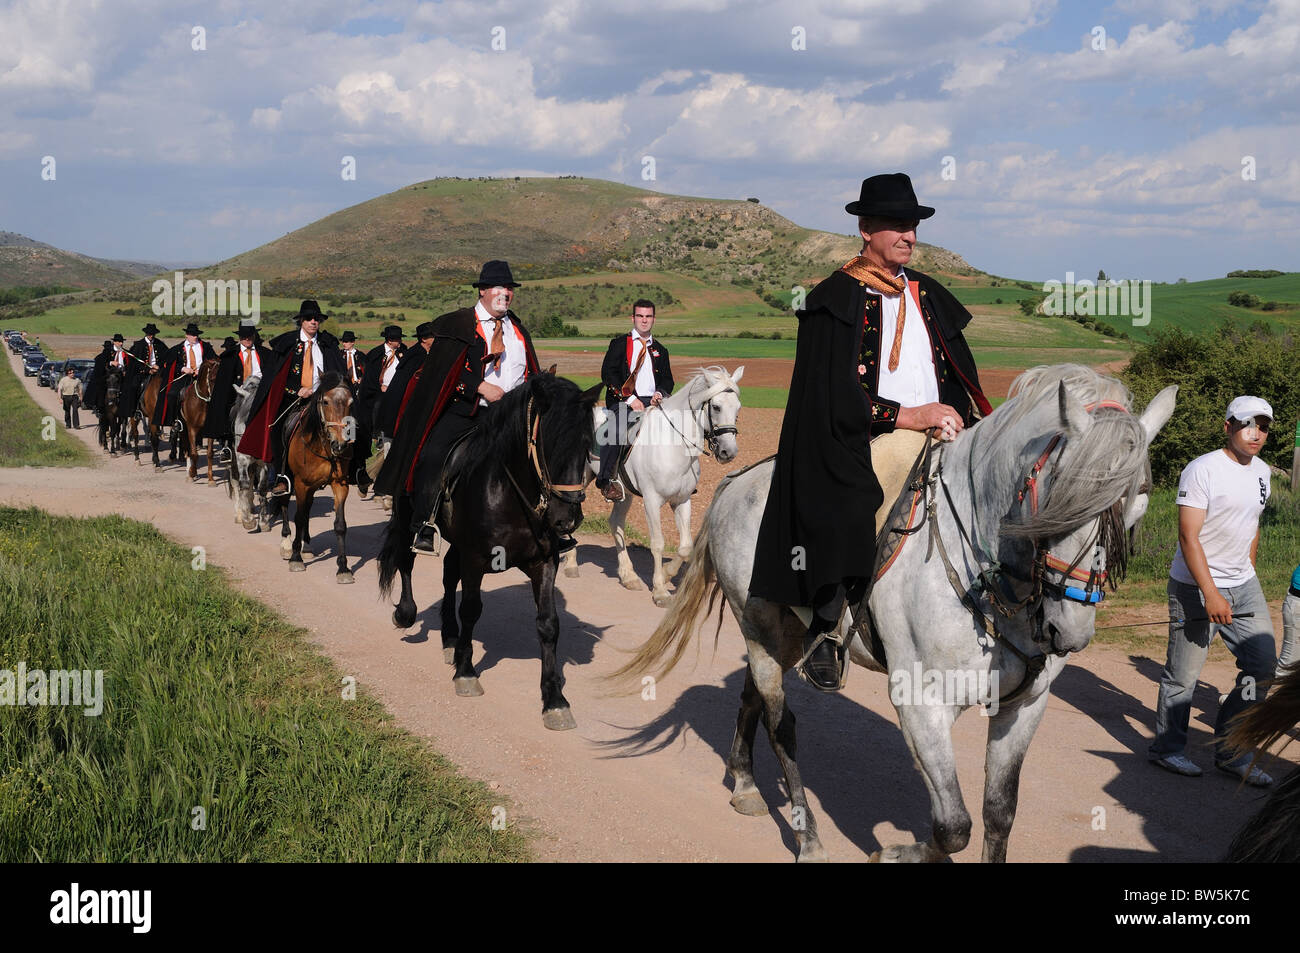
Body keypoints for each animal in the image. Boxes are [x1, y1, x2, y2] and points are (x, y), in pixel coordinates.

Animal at [266, 369, 356, 579]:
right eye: (326, 401)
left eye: (350, 402)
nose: (340, 444)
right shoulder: (301, 484)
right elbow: (298, 517)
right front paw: (295, 558)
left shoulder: (340, 485)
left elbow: (340, 525)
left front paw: (343, 567)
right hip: (290, 481)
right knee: (286, 504)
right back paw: (287, 544)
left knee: (307, 508)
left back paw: (306, 546)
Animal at [377, 371, 598, 728]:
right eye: (548, 443)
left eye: (587, 445)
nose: (566, 519)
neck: (510, 492)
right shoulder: (476, 558)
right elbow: (471, 609)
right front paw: (466, 673)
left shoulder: (544, 562)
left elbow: (549, 623)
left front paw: (554, 699)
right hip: (409, 516)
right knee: (406, 560)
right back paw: (407, 614)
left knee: (448, 575)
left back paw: (450, 638)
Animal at [559, 364, 743, 603]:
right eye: (716, 406)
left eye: (737, 408)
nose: (729, 452)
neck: (673, 444)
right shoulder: (652, 501)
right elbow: (657, 543)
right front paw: (659, 590)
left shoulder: (682, 500)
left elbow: (685, 546)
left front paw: (666, 574)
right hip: (579, 480)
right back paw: (571, 563)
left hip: (624, 493)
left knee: (616, 523)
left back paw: (628, 576)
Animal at [611, 366, 1180, 863]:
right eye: (1066, 493)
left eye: (1139, 499)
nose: (1070, 631)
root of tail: (737, 482)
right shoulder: (921, 704)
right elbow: (953, 826)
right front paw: (897, 852)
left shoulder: (1025, 707)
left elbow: (997, 815)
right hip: (759, 628)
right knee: (781, 722)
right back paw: (808, 837)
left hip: (784, 633)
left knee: (752, 694)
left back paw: (746, 783)